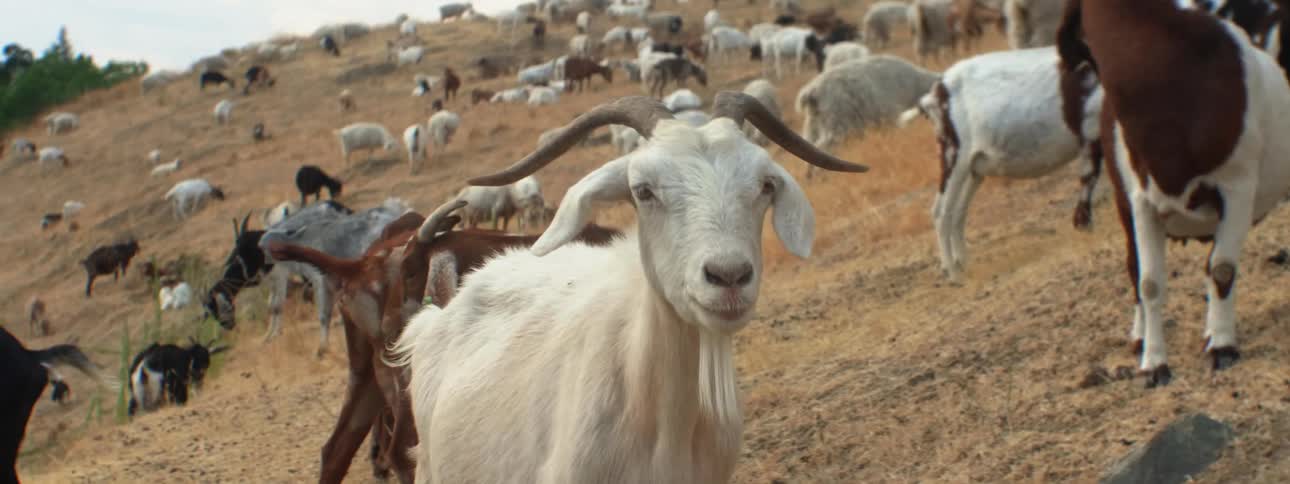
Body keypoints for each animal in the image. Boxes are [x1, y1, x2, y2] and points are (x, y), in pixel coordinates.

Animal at [1057, 0, 1290, 387]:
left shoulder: (1237, 187)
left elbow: (1222, 269)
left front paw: (1222, 347)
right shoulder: (1142, 202)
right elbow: (1149, 282)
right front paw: (1154, 365)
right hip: (1123, 202)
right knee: (1133, 266)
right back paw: (1141, 338)